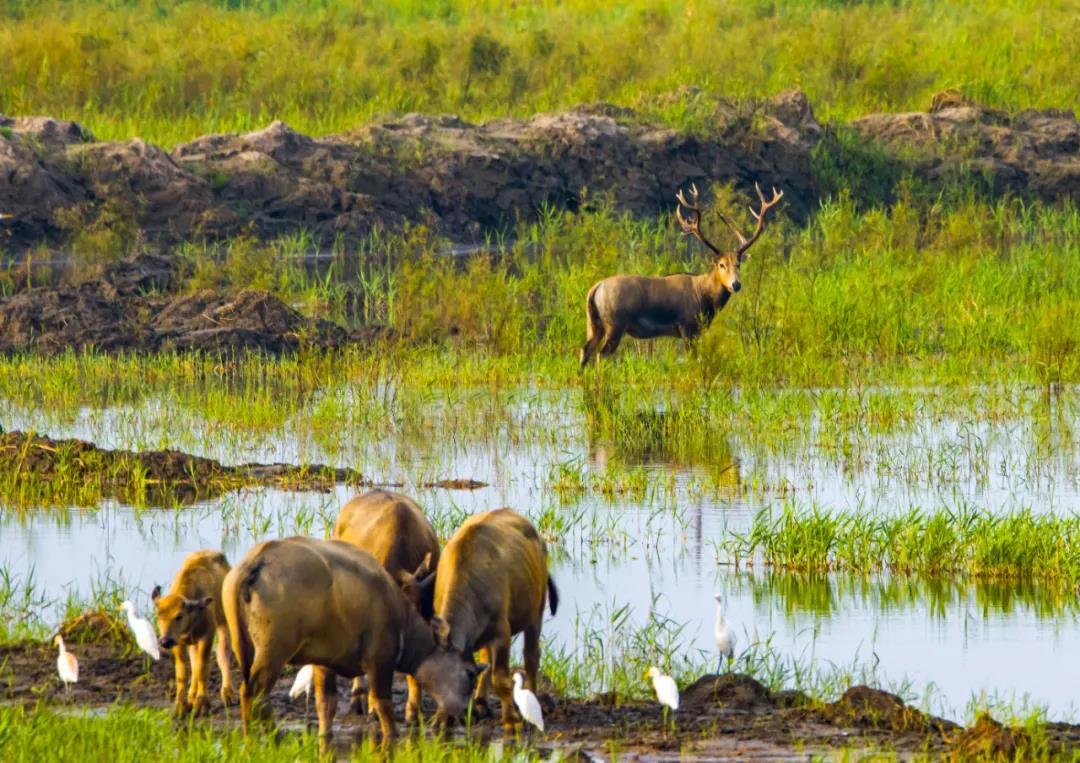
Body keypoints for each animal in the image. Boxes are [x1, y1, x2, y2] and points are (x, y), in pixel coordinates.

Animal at [151, 546, 233, 713]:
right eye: (159, 615)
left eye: (179, 616)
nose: (164, 641)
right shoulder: (178, 642)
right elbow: (183, 672)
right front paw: (180, 706)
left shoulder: (207, 636)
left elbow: (202, 668)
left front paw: (202, 703)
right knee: (194, 661)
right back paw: (190, 697)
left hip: (224, 623)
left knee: (223, 653)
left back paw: (227, 693)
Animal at [221, 531, 479, 739]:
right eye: (470, 673)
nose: (474, 715)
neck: (401, 622)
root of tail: (255, 563)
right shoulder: (380, 662)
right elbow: (383, 706)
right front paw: (393, 736)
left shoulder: (323, 662)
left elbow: (326, 705)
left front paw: (325, 735)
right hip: (274, 650)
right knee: (254, 692)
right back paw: (266, 734)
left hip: (245, 646)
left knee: (252, 692)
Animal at [427, 507, 557, 726]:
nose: (455, 713)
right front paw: (440, 718)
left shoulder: (501, 634)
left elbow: (501, 679)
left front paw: (511, 719)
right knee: (487, 658)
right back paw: (481, 702)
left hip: (535, 613)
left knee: (531, 656)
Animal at [578, 181, 781, 365]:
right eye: (722, 265)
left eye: (738, 264)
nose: (736, 284)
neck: (704, 298)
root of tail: (595, 289)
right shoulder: (688, 326)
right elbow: (693, 359)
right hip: (615, 323)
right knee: (601, 355)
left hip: (594, 323)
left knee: (585, 350)